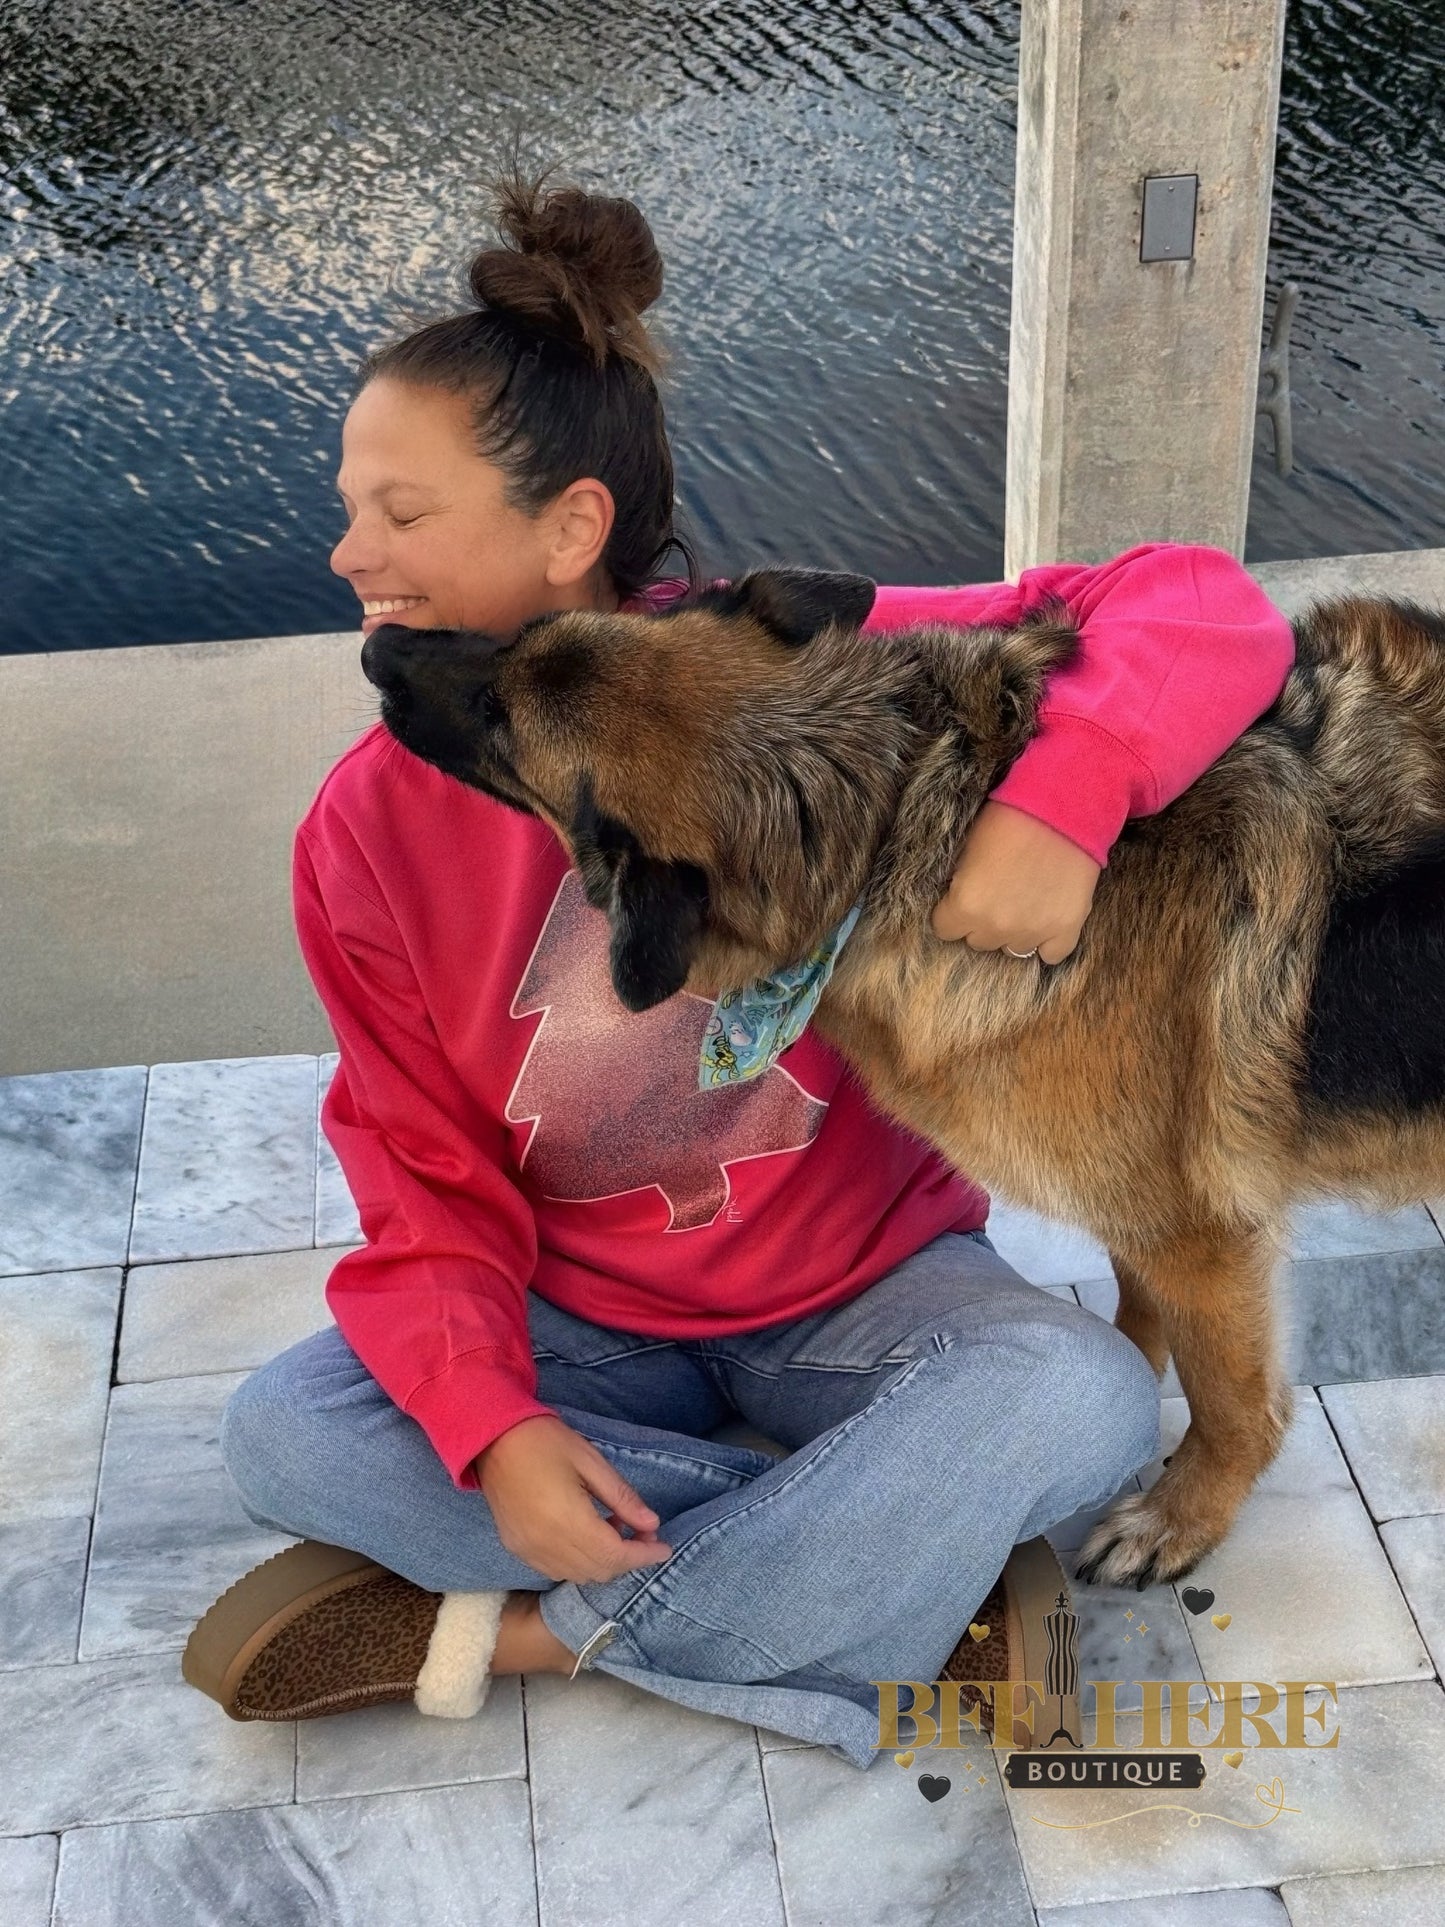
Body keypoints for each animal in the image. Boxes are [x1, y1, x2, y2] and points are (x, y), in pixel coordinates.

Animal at [362, 562, 1445, 1587]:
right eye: (524, 633)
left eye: (499, 721)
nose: (377, 651)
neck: (894, 815)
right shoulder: (1144, 1209)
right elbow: (1139, 1311)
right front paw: (1134, 1387)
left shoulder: (1201, 1235)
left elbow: (1231, 1403)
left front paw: (1179, 1519)